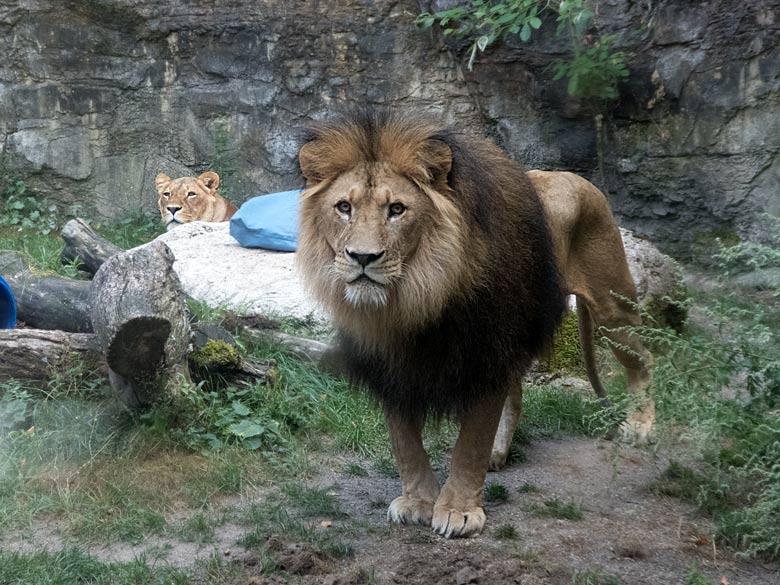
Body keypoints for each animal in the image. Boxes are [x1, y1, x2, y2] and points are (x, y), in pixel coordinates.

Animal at [298, 110, 568, 540]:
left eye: (396, 209)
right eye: (343, 207)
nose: (362, 257)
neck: (414, 303)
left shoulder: (488, 356)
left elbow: (471, 442)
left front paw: (459, 510)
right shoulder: (390, 367)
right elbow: (405, 443)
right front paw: (418, 502)